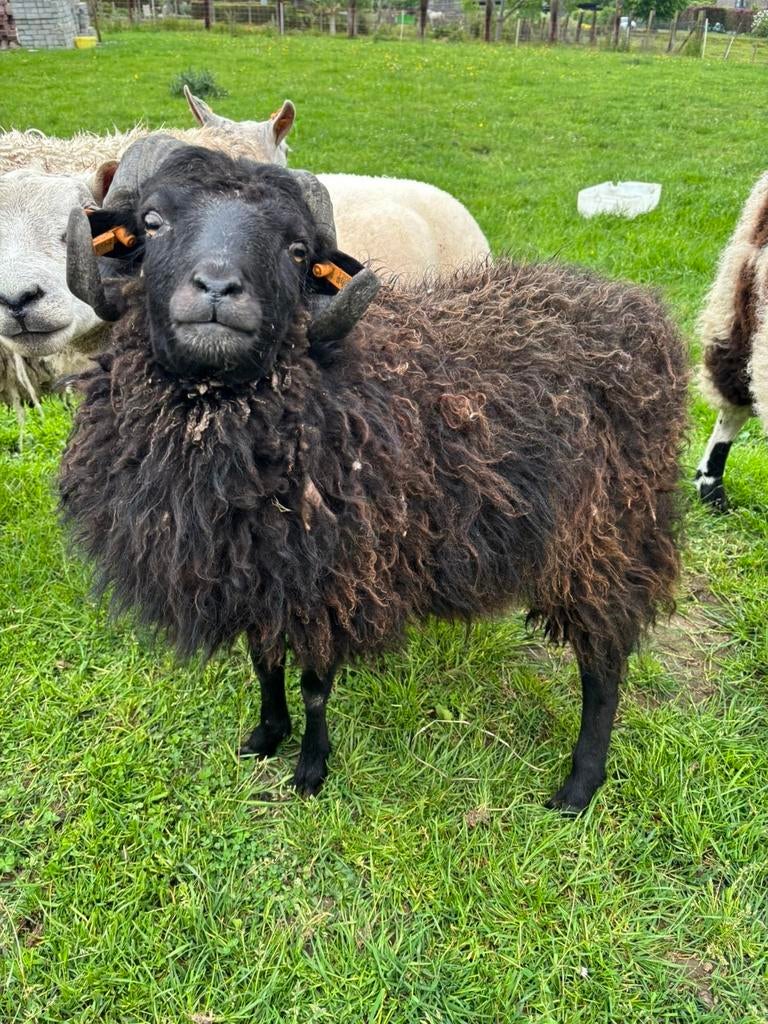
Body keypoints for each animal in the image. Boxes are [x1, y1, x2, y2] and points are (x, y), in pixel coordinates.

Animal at [59, 147, 687, 811]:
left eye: (297, 250)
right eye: (153, 222)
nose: (218, 289)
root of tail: (641, 310)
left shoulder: (333, 576)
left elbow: (314, 684)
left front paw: (310, 768)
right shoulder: (258, 570)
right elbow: (263, 660)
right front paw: (265, 735)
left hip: (605, 536)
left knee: (604, 663)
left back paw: (579, 785)